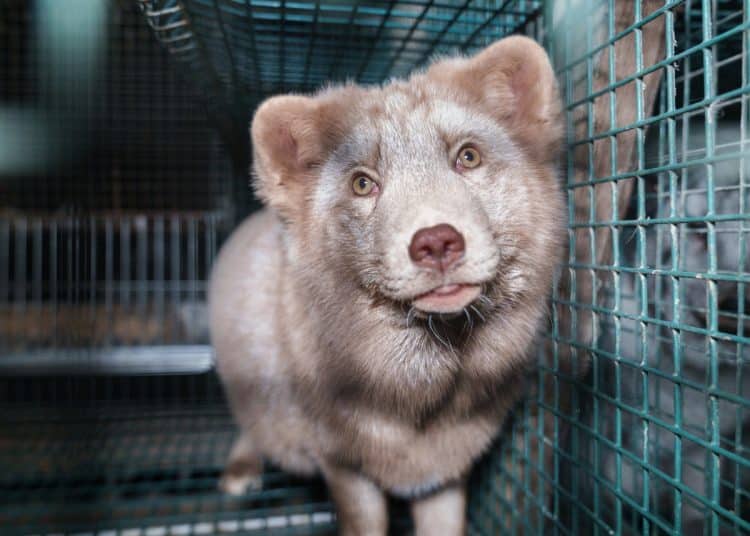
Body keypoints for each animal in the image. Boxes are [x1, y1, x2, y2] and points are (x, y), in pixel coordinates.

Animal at [209, 35, 565, 535]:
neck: (425, 408)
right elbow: (363, 523)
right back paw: (240, 468)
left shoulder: (446, 469)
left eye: (468, 157)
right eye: (362, 183)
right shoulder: (342, 463)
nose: (436, 242)